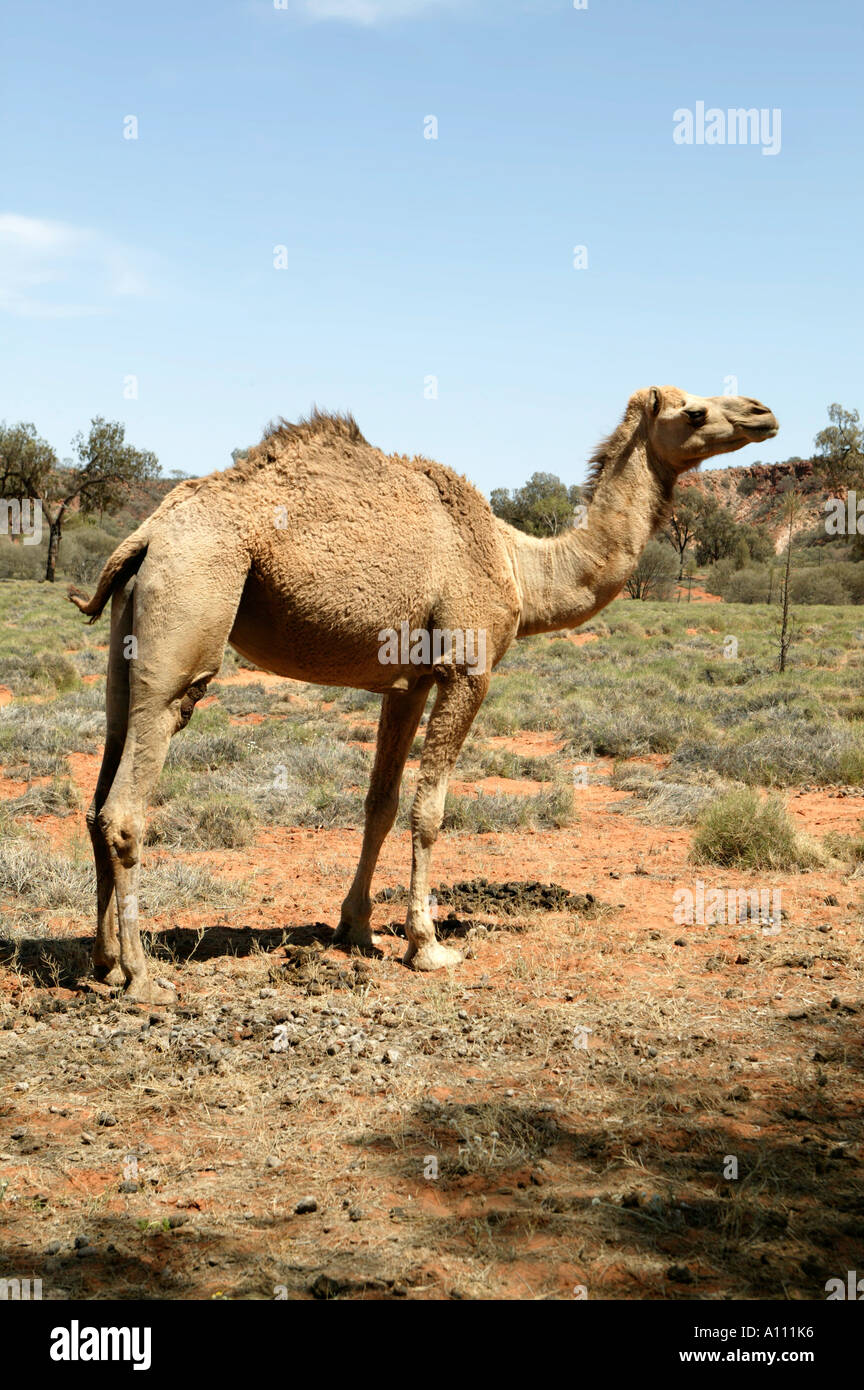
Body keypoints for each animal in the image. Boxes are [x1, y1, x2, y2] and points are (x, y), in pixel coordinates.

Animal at [71, 386, 783, 1006]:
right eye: (694, 412)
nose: (764, 412)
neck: (521, 565)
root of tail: (147, 535)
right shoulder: (467, 669)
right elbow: (431, 811)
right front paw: (428, 945)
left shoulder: (406, 683)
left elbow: (380, 804)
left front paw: (356, 930)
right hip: (193, 606)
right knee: (129, 803)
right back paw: (145, 979)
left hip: (128, 644)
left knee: (100, 793)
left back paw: (104, 965)